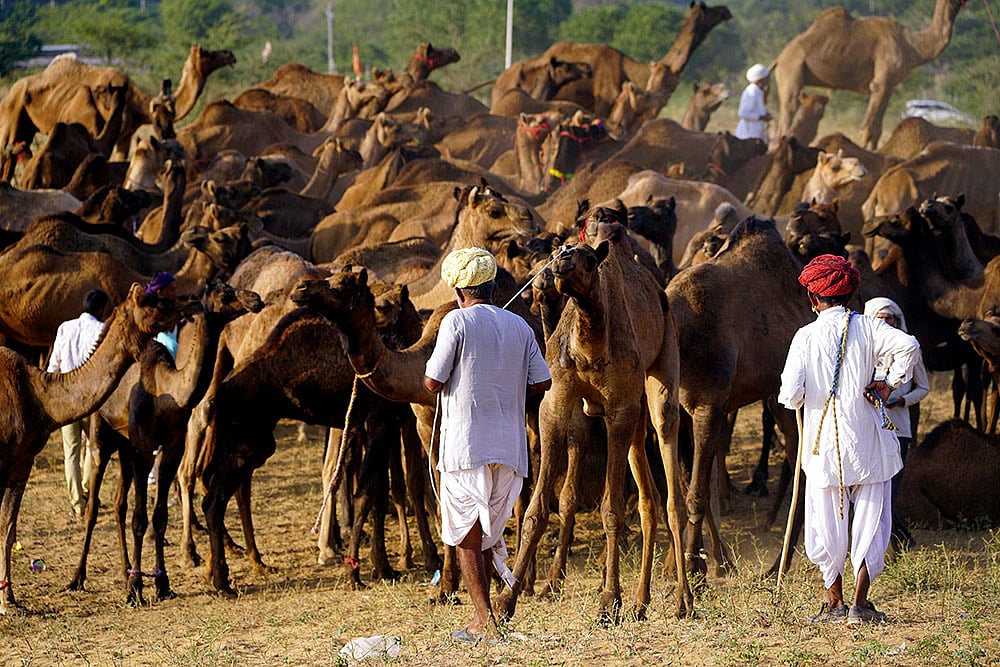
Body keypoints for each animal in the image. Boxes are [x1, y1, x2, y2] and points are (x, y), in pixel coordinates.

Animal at [0, 45, 236, 179]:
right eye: (206, 53)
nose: (230, 54)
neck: (137, 103)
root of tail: (9, 93)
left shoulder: (126, 135)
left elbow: (122, 158)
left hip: (27, 128)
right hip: (12, 118)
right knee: (5, 155)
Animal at [0, 283, 178, 614]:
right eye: (154, 304)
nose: (186, 305)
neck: (40, 397)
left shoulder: (22, 461)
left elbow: (7, 526)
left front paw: (10, 601)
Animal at [65, 281, 262, 605]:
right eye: (224, 292)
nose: (255, 299)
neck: (166, 393)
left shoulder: (170, 448)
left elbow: (159, 516)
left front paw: (162, 584)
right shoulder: (144, 449)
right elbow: (140, 519)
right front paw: (136, 591)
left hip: (125, 446)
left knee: (118, 503)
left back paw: (125, 571)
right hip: (102, 437)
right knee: (94, 507)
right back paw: (78, 578)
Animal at [773, 0, 966, 150]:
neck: (912, 45)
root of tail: (779, 58)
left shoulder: (889, 86)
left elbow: (877, 130)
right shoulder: (881, 82)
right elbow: (867, 129)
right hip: (791, 70)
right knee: (788, 112)